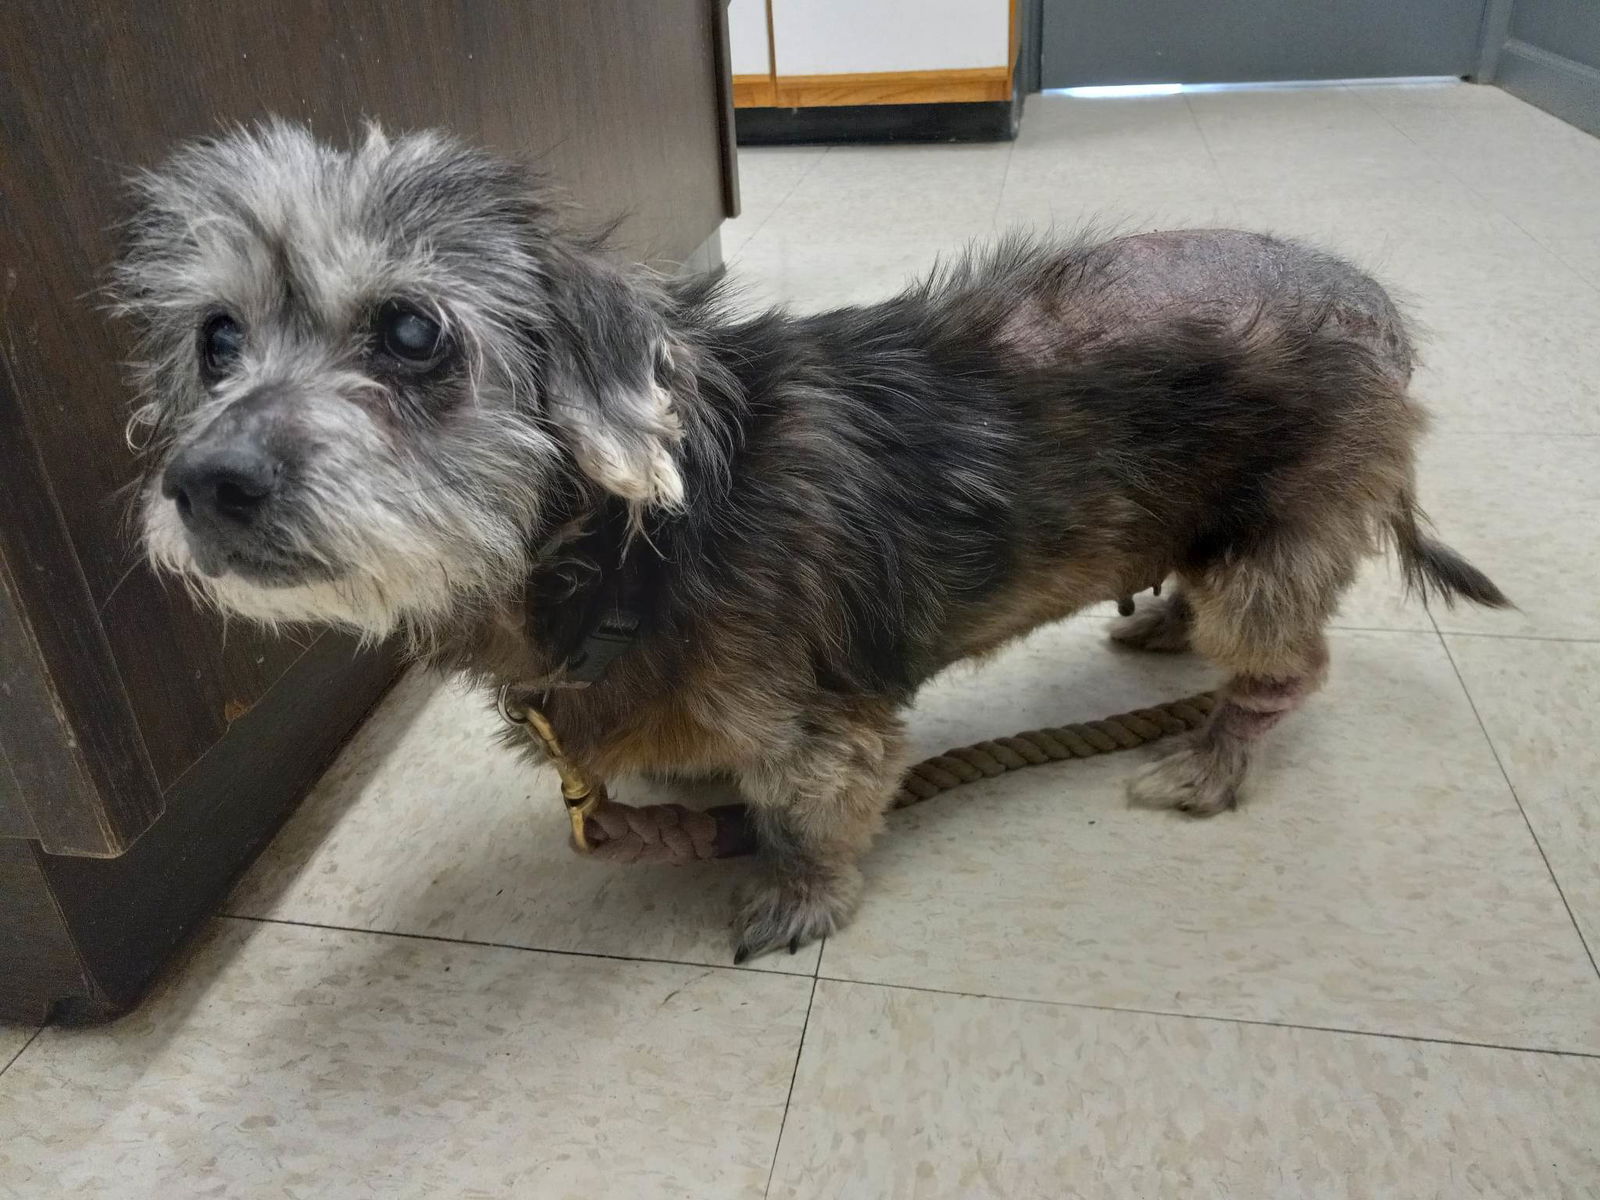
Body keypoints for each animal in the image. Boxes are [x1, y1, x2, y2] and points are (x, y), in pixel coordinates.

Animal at [112, 122, 1497, 966]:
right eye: (217, 342)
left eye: (410, 333)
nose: (206, 482)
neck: (631, 553)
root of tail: (1372, 311)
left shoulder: (825, 730)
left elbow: (812, 813)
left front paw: (793, 893)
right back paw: (1160, 620)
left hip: (1274, 552)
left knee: (1289, 671)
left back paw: (1209, 760)